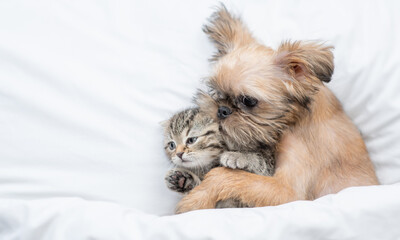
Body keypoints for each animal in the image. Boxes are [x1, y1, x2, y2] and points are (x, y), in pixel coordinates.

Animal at [177, 5, 380, 214]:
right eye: (215, 91)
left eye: (248, 101)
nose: (222, 110)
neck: (295, 119)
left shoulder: (288, 192)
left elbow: (223, 175)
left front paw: (196, 200)